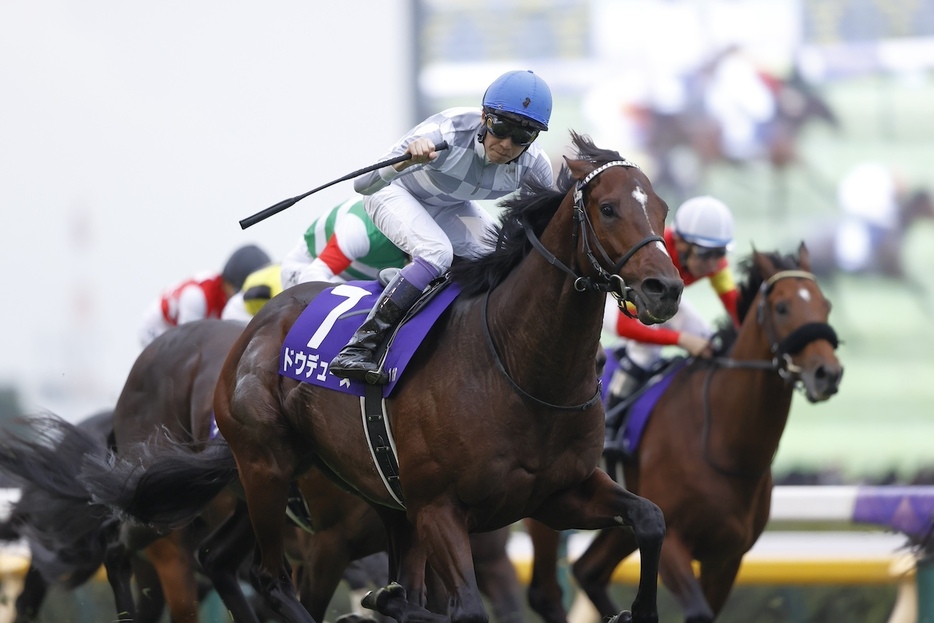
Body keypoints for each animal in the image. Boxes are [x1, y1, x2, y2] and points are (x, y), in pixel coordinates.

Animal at [80, 132, 684, 623]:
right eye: (608, 208)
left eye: (661, 207)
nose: (666, 289)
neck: (518, 370)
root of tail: (255, 328)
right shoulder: (435, 508)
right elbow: (462, 610)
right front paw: (383, 601)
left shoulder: (558, 494)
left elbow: (651, 518)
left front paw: (639, 611)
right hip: (263, 465)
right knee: (260, 576)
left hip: (298, 474)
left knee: (222, 560)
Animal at [528, 244, 848, 623]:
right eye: (782, 307)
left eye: (826, 305)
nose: (828, 373)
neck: (724, 444)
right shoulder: (674, 544)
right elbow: (697, 612)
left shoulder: (726, 558)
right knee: (546, 592)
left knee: (588, 570)